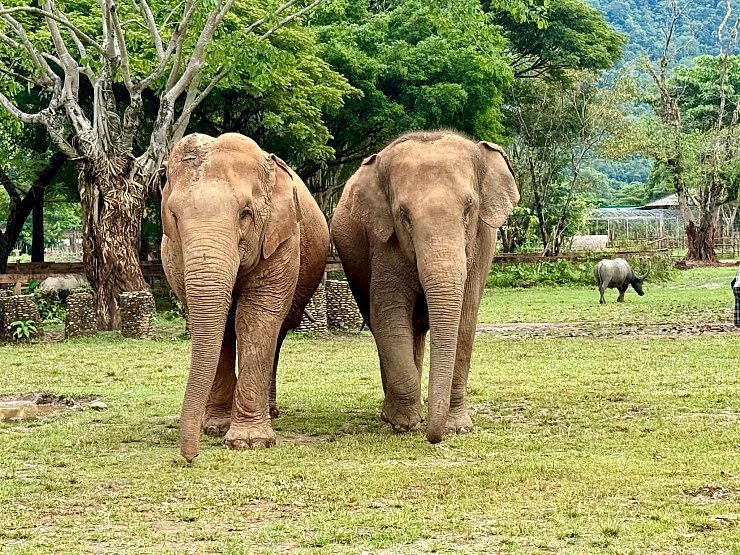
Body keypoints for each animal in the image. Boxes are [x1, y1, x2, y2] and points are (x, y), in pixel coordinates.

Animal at [161, 132, 330, 462]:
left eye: (245, 213)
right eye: (174, 215)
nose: (190, 457)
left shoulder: (282, 241)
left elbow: (256, 318)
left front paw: (250, 442)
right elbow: (218, 327)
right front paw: (215, 427)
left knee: (278, 332)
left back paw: (271, 411)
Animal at [331, 130, 519, 443]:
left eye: (469, 208)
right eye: (404, 215)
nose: (434, 438)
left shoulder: (482, 244)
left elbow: (465, 321)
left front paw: (458, 427)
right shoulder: (383, 243)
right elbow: (388, 316)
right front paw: (405, 424)